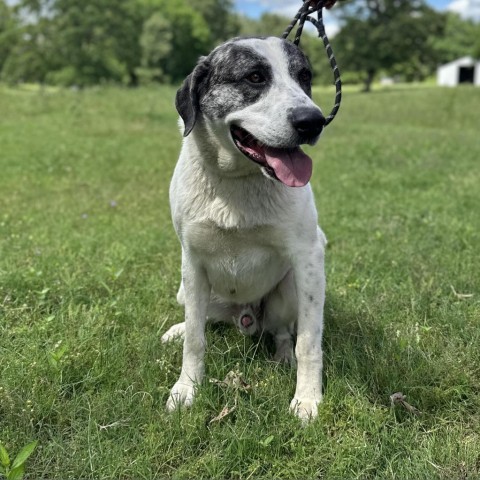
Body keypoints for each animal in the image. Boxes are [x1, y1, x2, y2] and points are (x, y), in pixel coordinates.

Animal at [163, 36, 328, 420]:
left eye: (305, 77)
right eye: (254, 77)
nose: (313, 121)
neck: (237, 181)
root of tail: (245, 318)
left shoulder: (309, 257)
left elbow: (308, 342)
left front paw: (307, 399)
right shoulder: (192, 261)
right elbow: (196, 338)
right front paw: (187, 389)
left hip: (288, 290)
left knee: (282, 332)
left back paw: (282, 356)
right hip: (186, 290)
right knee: (202, 320)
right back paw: (177, 329)